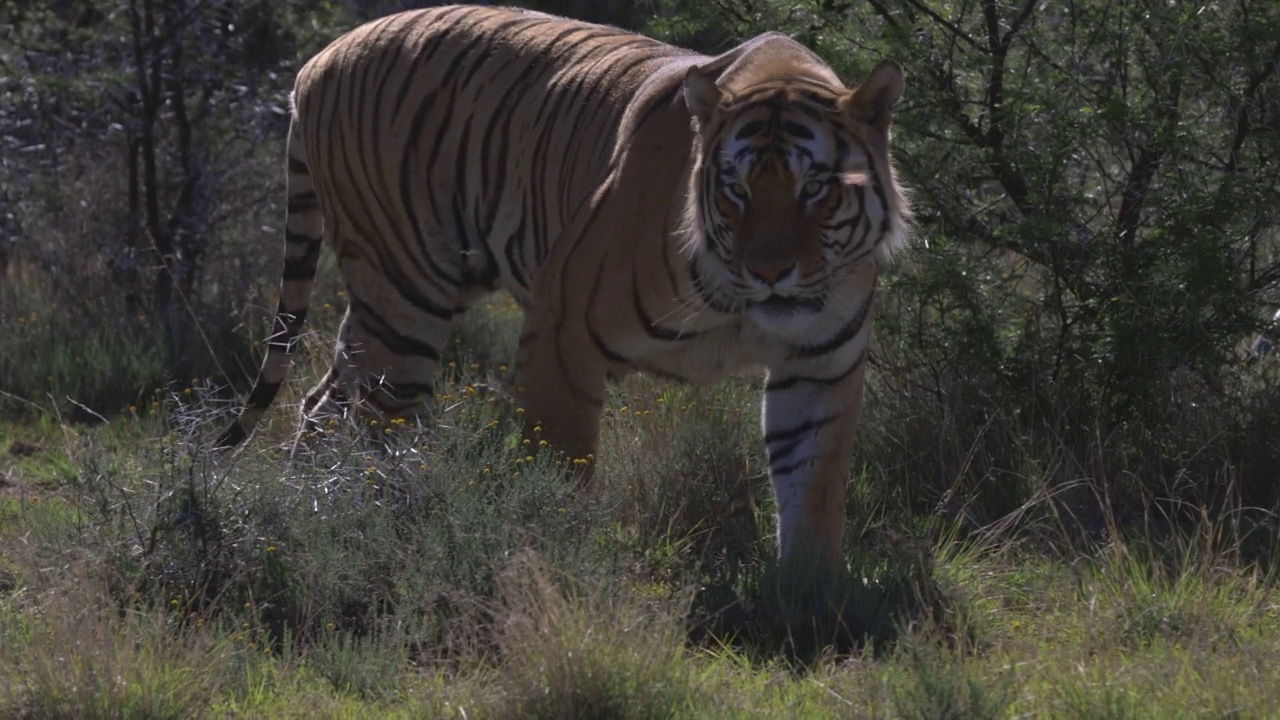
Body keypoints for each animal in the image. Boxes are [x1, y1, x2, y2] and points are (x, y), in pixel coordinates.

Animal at [215, 2, 911, 568]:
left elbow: (812, 492)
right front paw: (559, 565)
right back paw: (375, 533)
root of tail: (316, 60)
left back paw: (309, 514)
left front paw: (811, 602)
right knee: (380, 433)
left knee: (321, 403)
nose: (770, 273)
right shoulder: (562, 333)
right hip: (404, 299)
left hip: (392, 302)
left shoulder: (820, 367)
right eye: (735, 188)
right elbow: (559, 472)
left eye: (815, 187)